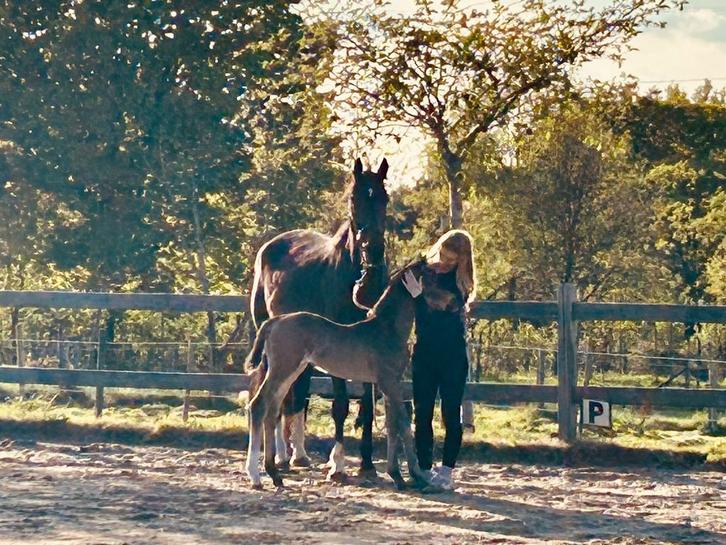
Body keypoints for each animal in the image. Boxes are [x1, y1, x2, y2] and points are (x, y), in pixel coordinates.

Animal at [245, 261, 436, 491]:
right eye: (432, 275)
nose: (456, 300)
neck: (385, 330)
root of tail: (274, 321)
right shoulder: (390, 382)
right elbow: (405, 426)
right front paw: (416, 476)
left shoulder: (388, 385)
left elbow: (393, 427)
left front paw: (398, 476)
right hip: (282, 369)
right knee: (258, 405)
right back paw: (255, 477)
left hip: (290, 371)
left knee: (271, 410)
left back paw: (274, 474)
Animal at [248, 158, 389, 480]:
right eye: (354, 199)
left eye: (385, 199)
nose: (374, 250)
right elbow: (340, 405)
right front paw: (338, 464)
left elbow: (367, 405)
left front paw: (367, 463)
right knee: (280, 397)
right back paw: (282, 457)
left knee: (296, 394)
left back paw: (298, 455)